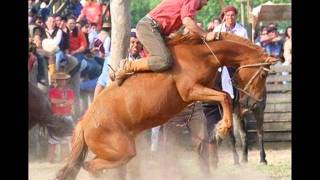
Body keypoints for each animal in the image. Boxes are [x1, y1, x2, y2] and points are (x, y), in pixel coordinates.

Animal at [56, 32, 276, 180]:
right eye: (263, 75)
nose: (253, 102)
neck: (200, 53)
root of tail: (84, 123)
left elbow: (223, 98)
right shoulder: (190, 90)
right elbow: (224, 97)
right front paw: (221, 129)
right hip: (121, 151)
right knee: (90, 165)